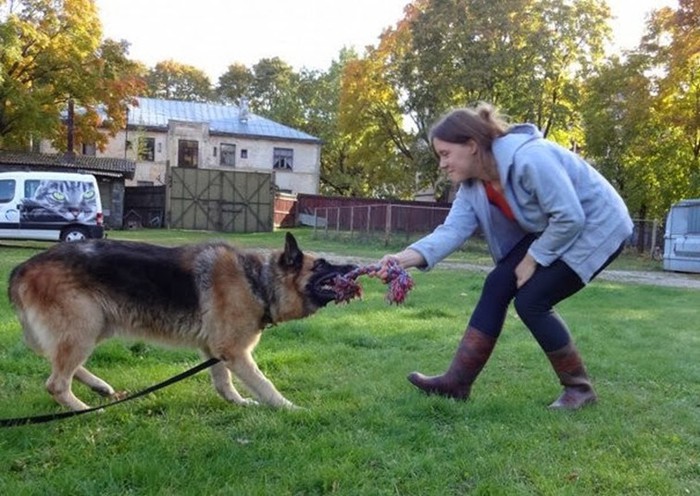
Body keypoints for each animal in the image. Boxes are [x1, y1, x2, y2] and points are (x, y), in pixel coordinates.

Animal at [10, 232, 358, 410]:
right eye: (322, 264)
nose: (354, 267)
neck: (257, 281)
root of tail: (22, 267)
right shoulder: (235, 353)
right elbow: (265, 384)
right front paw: (288, 408)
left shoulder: (215, 352)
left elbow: (223, 383)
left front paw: (239, 402)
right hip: (85, 327)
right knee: (55, 382)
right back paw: (83, 410)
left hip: (93, 327)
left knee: (56, 364)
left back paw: (99, 387)